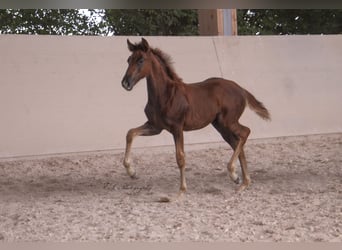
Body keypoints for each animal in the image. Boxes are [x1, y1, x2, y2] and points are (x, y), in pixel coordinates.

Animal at [121, 38, 270, 196]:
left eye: (141, 60)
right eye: (129, 60)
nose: (125, 83)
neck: (165, 95)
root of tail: (241, 89)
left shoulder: (177, 128)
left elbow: (180, 157)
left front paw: (182, 190)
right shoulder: (155, 127)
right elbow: (130, 133)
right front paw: (132, 172)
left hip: (228, 121)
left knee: (245, 132)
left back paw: (234, 173)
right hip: (221, 126)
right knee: (237, 143)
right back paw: (241, 181)